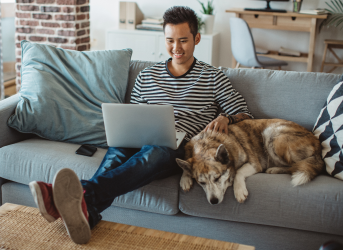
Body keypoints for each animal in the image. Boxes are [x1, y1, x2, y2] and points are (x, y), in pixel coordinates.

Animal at [177, 119, 326, 205]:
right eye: (201, 183)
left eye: (218, 178)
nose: (213, 201)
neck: (207, 143)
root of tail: (318, 144)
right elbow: (185, 165)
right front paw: (185, 178)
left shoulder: (254, 164)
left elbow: (238, 172)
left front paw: (239, 191)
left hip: (271, 134)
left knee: (293, 166)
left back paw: (274, 169)